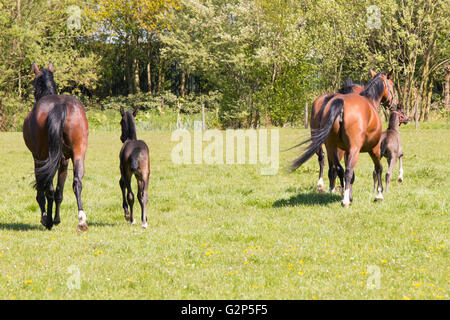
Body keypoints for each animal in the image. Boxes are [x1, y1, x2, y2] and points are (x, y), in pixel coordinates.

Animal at [22, 62, 89, 232]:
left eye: (34, 87)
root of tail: (59, 105)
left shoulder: (38, 159)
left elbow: (44, 191)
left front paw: (47, 217)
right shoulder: (64, 160)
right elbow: (60, 191)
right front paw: (57, 219)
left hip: (45, 156)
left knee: (49, 189)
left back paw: (48, 221)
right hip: (78, 152)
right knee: (77, 182)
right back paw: (81, 219)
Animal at [290, 69, 396, 208]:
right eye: (392, 85)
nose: (394, 103)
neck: (369, 102)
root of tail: (339, 104)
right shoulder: (374, 148)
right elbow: (378, 168)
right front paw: (379, 195)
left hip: (330, 146)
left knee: (335, 166)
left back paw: (335, 191)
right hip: (353, 149)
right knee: (347, 171)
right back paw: (345, 199)